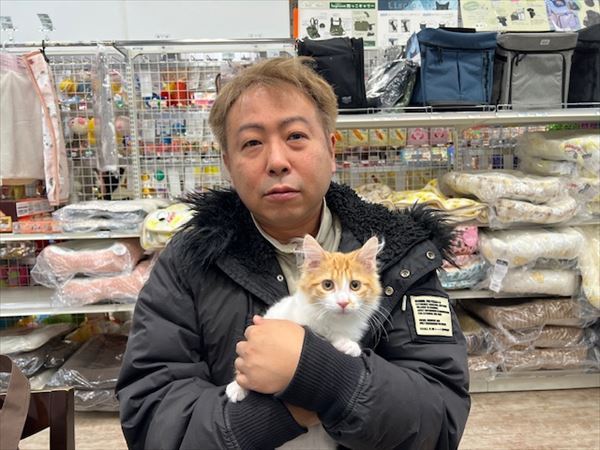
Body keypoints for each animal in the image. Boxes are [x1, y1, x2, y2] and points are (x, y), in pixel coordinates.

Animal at [226, 234, 383, 403]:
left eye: (355, 285)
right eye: (327, 285)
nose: (343, 302)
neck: (332, 321)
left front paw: (348, 344)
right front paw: (237, 386)